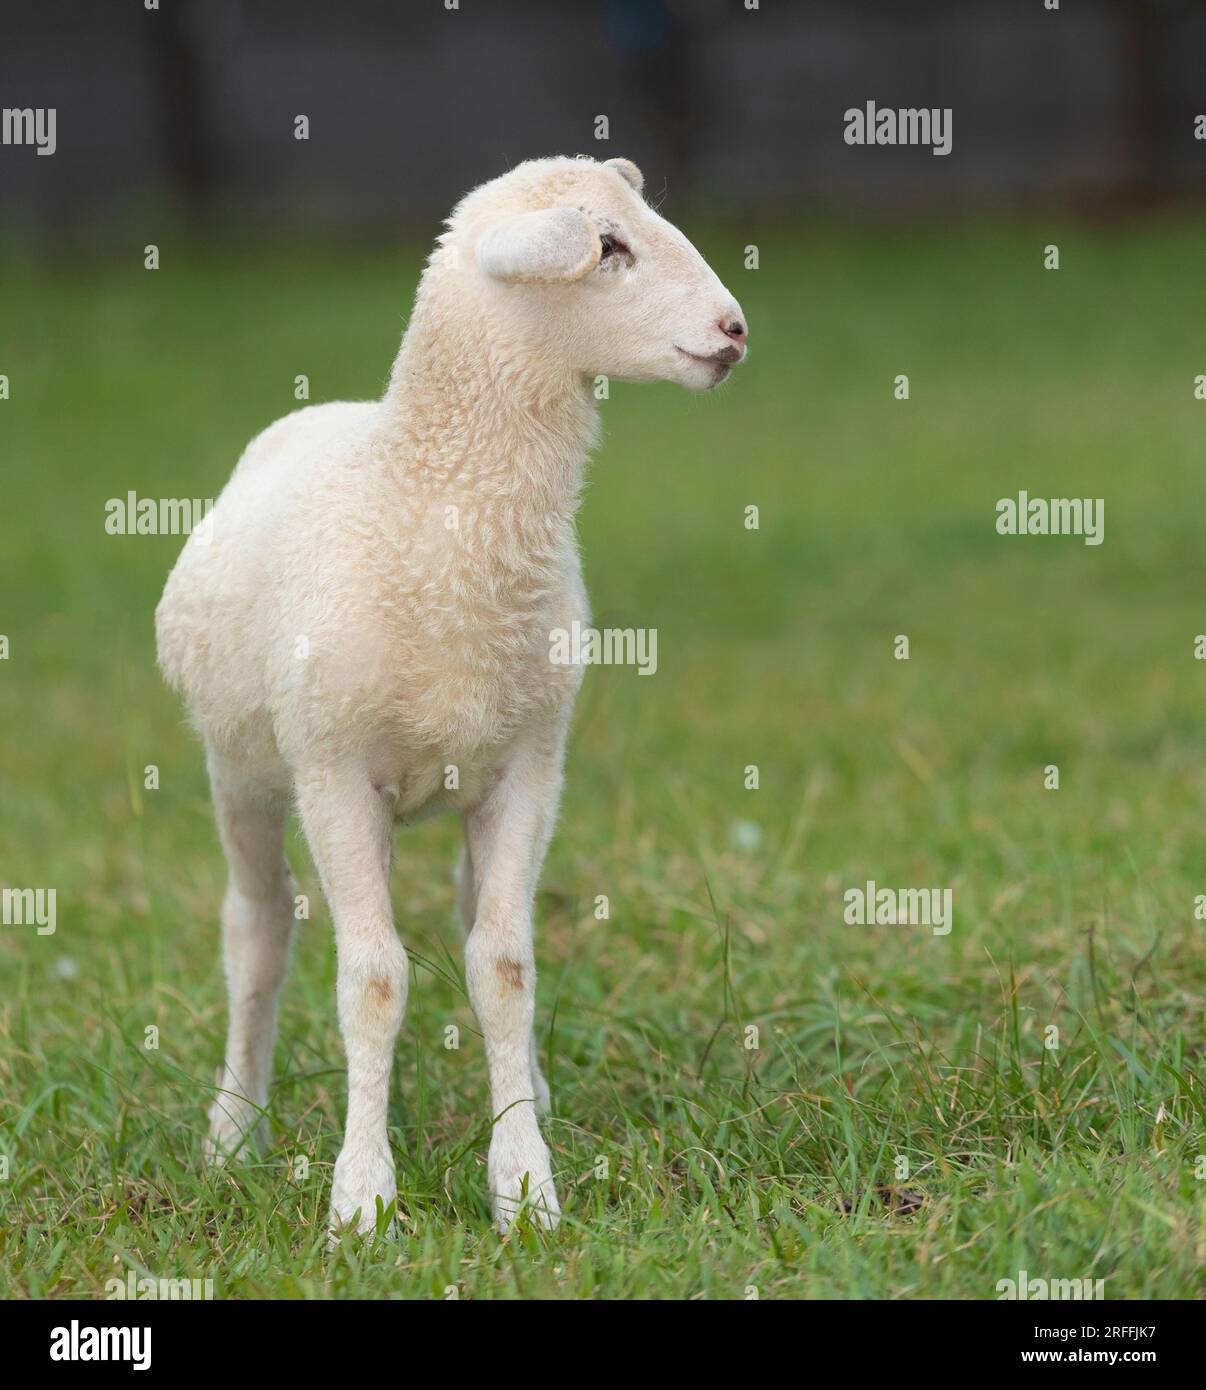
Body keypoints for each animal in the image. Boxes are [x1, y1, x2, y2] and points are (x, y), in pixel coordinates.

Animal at [155, 154, 750, 1239]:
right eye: (608, 246)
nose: (733, 330)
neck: (421, 491)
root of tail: (323, 413)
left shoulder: (528, 766)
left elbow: (502, 969)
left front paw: (523, 1182)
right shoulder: (335, 772)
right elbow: (372, 979)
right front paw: (361, 1199)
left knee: (478, 918)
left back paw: (531, 1096)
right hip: (244, 772)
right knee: (258, 932)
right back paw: (233, 1133)